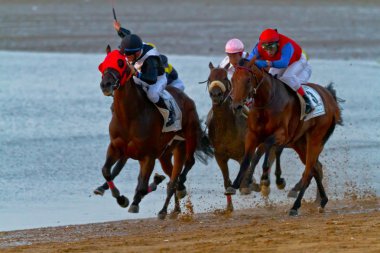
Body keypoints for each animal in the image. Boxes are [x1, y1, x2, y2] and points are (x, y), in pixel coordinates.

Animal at [97, 46, 214, 219]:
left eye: (120, 63)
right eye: (103, 64)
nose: (106, 84)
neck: (130, 116)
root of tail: (186, 98)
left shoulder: (148, 156)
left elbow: (142, 186)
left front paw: (134, 202)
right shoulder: (116, 147)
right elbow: (107, 171)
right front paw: (121, 198)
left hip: (187, 140)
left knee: (183, 169)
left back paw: (171, 200)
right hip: (165, 155)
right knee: (171, 177)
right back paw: (173, 207)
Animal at [206, 61, 286, 210]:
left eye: (225, 78)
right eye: (209, 79)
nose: (216, 94)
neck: (227, 127)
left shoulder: (245, 149)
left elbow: (249, 167)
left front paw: (250, 184)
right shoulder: (220, 155)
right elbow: (227, 180)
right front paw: (229, 206)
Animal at [230, 58, 342, 215]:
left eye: (248, 80)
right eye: (232, 80)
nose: (237, 106)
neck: (267, 101)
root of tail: (329, 97)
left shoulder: (281, 134)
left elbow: (267, 149)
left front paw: (267, 179)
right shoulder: (252, 135)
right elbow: (247, 160)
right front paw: (236, 185)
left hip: (315, 139)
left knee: (308, 171)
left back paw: (295, 206)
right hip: (300, 143)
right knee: (316, 167)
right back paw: (322, 201)